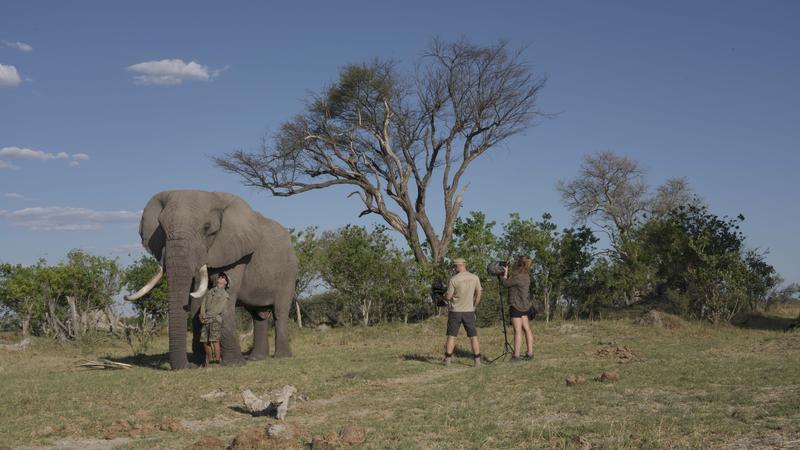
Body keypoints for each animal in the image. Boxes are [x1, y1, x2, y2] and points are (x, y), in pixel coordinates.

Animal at [123, 190, 298, 370]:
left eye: (207, 228)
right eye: (162, 228)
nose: (187, 366)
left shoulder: (236, 253)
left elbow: (225, 298)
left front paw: (234, 364)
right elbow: (197, 302)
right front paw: (200, 363)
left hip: (288, 273)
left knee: (280, 312)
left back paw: (281, 356)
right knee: (258, 315)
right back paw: (257, 358)